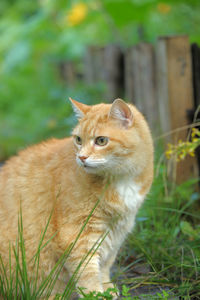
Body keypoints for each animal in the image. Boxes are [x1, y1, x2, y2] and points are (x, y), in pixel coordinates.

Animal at [0, 99, 153, 298]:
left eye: (101, 141)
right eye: (78, 140)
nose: (81, 157)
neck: (120, 179)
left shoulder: (117, 231)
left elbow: (105, 264)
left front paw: (107, 289)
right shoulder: (78, 236)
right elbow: (88, 273)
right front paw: (96, 295)